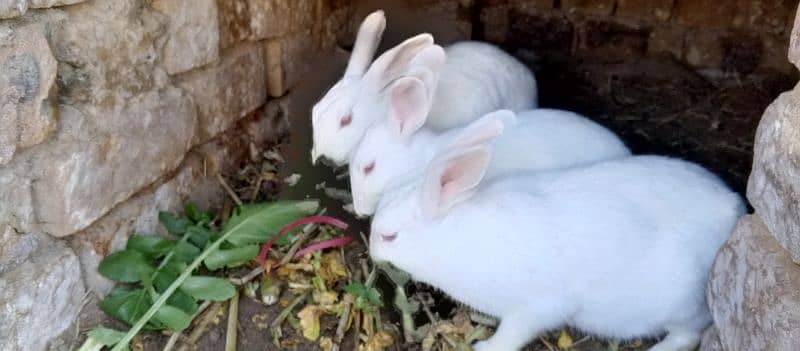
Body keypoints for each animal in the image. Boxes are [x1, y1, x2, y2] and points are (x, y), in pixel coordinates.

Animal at [372, 129, 748, 351]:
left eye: (390, 236)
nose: (373, 252)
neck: (454, 235)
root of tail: (732, 209)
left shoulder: (533, 308)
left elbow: (511, 335)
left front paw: (483, 347)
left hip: (681, 303)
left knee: (688, 334)